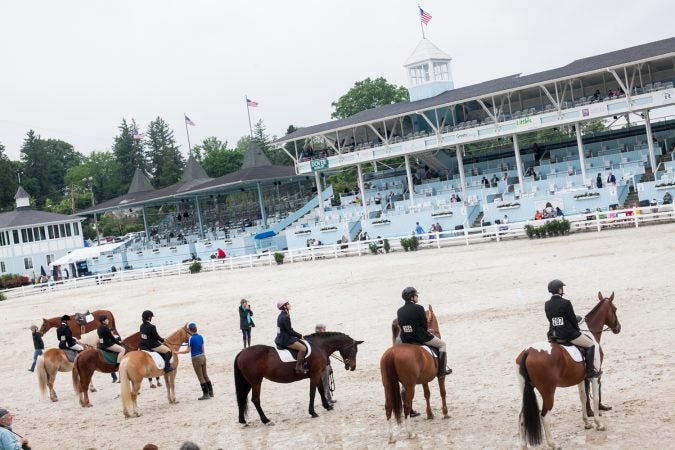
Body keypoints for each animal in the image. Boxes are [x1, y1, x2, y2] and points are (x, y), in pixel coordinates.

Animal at [236, 330, 364, 426]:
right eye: (354, 350)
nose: (353, 367)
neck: (319, 346)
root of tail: (242, 352)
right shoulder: (315, 374)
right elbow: (312, 393)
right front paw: (313, 412)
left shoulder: (317, 374)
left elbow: (321, 390)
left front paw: (327, 406)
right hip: (256, 381)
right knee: (255, 399)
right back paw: (266, 420)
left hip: (248, 382)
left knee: (242, 398)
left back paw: (243, 421)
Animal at [380, 304, 448, 444]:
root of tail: (392, 352)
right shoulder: (440, 376)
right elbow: (442, 392)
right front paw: (445, 412)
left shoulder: (424, 379)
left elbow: (427, 394)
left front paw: (430, 414)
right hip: (410, 385)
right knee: (406, 405)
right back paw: (410, 433)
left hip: (387, 385)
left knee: (388, 406)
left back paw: (391, 437)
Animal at [516, 292, 624, 450]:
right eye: (615, 309)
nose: (618, 328)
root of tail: (528, 351)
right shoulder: (593, 377)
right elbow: (595, 398)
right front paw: (598, 423)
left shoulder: (580, 378)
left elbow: (583, 397)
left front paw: (587, 423)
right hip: (548, 391)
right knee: (544, 415)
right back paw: (553, 444)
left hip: (524, 388)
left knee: (522, 416)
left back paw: (524, 445)